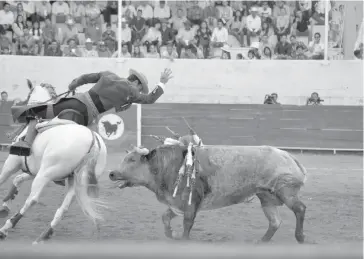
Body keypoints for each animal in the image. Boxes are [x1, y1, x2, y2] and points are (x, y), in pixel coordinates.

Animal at [0, 82, 108, 245]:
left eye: (29, 93)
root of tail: (93, 141)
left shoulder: (12, 164)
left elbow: (3, 179)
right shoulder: (33, 170)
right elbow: (17, 180)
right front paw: (5, 206)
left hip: (46, 174)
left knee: (32, 199)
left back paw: (6, 228)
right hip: (74, 182)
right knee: (63, 209)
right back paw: (44, 236)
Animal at [108, 145, 308, 243]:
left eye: (132, 160)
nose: (112, 173)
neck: (169, 166)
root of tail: (289, 157)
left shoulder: (190, 203)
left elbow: (187, 223)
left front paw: (183, 239)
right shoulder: (177, 202)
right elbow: (165, 217)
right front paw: (170, 234)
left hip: (285, 191)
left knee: (300, 209)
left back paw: (300, 237)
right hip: (266, 197)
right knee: (275, 221)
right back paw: (262, 241)